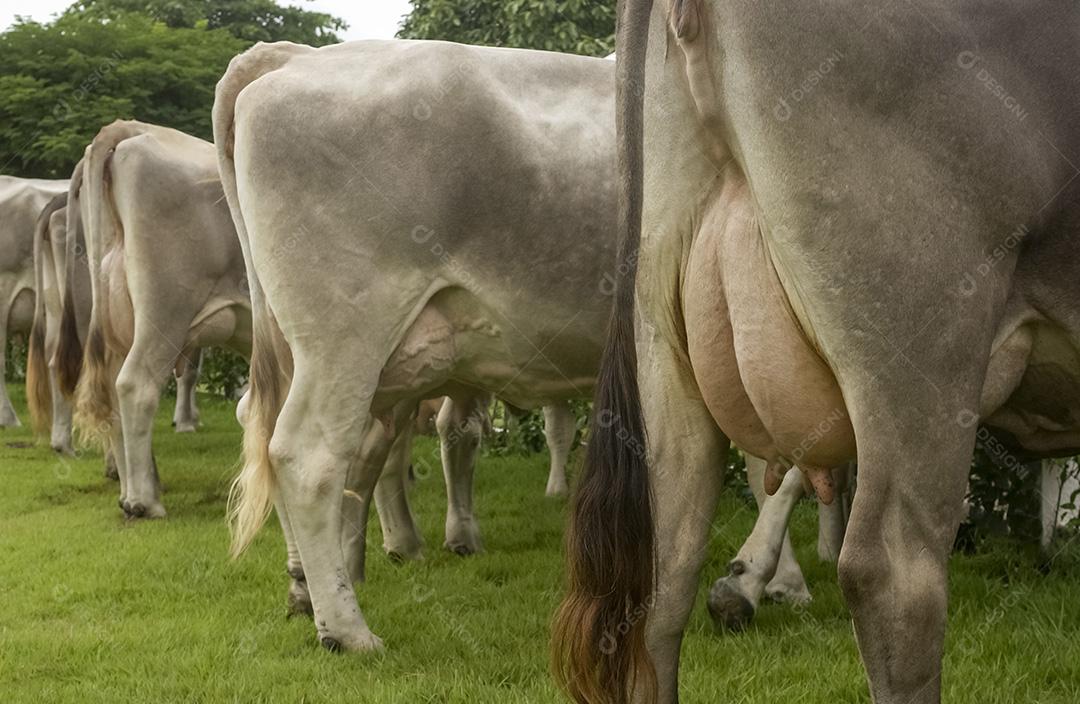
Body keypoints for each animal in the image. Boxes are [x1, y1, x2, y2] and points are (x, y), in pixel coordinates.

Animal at [71, 120, 251, 519]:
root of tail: (128, 129)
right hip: (164, 312)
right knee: (135, 385)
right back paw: (143, 502)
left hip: (118, 324)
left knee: (114, 395)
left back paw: (132, 490)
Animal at [214, 39, 617, 650]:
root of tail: (294, 57)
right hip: (347, 337)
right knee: (308, 457)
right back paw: (348, 629)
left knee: (269, 428)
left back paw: (306, 589)